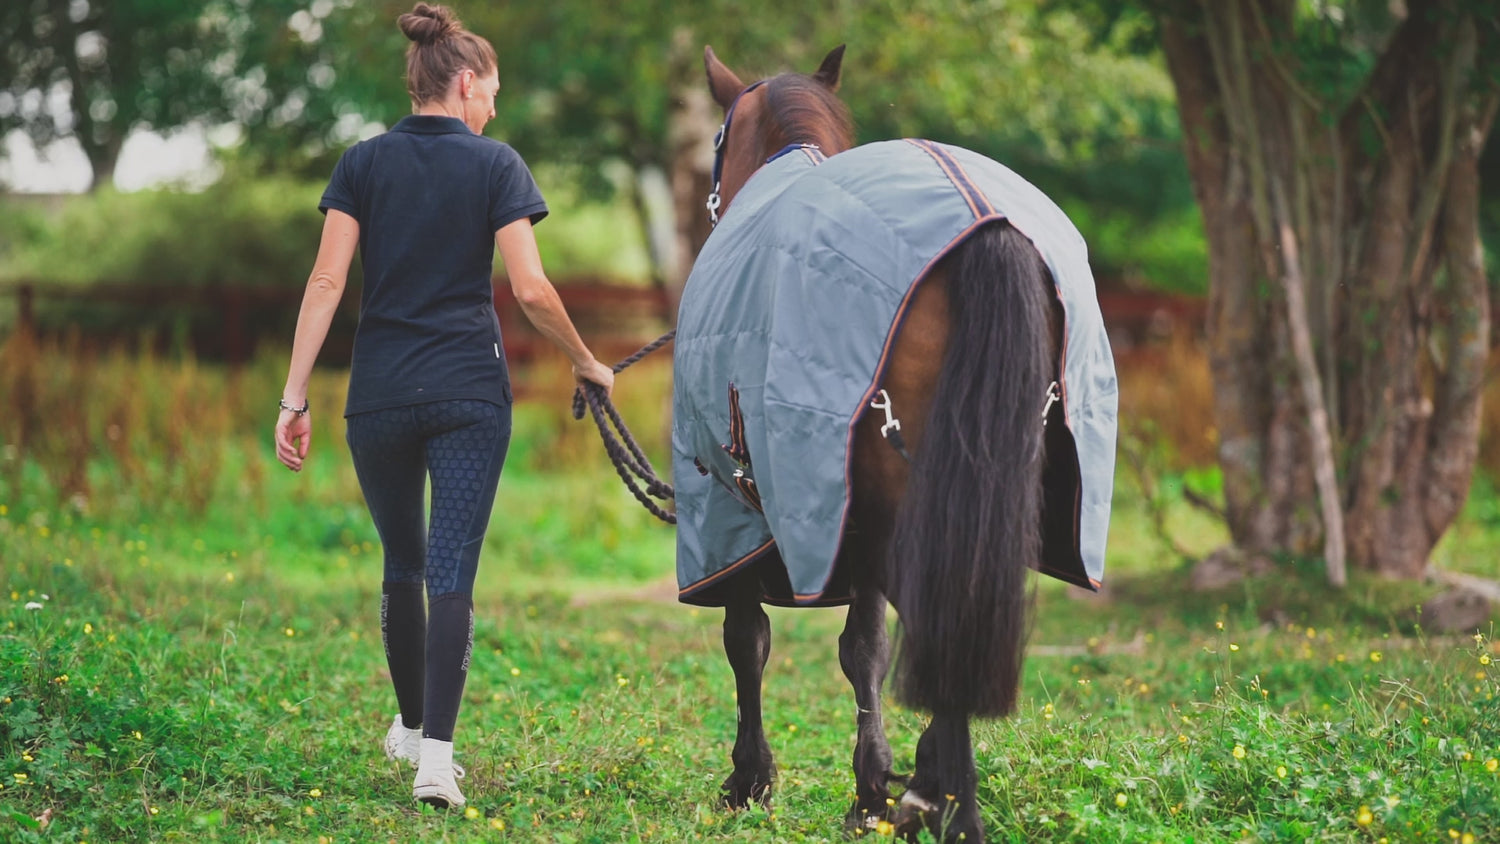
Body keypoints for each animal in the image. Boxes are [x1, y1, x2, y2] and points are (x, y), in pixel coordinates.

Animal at [669, 47, 1116, 844]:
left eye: (716, 138)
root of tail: (985, 220)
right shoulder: (851, 519)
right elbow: (866, 649)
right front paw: (871, 788)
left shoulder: (728, 507)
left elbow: (747, 639)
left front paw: (751, 780)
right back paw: (936, 794)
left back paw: (947, 804)